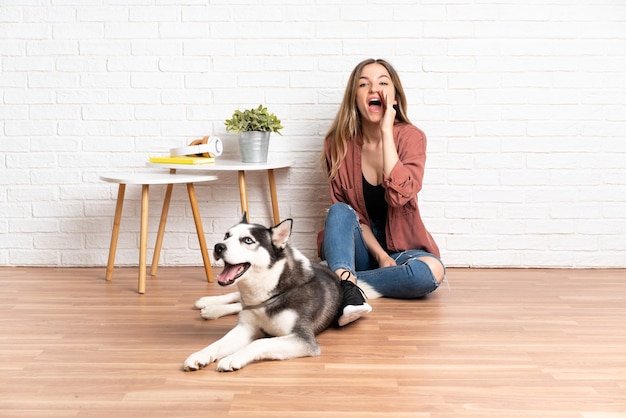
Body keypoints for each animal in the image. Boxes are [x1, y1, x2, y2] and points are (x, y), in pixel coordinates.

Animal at [183, 216, 342, 372]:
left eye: (248, 240)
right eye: (227, 235)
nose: (218, 246)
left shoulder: (304, 339)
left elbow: (260, 342)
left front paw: (232, 358)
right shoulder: (246, 327)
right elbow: (219, 342)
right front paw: (200, 354)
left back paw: (211, 310)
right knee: (237, 299)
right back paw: (208, 304)